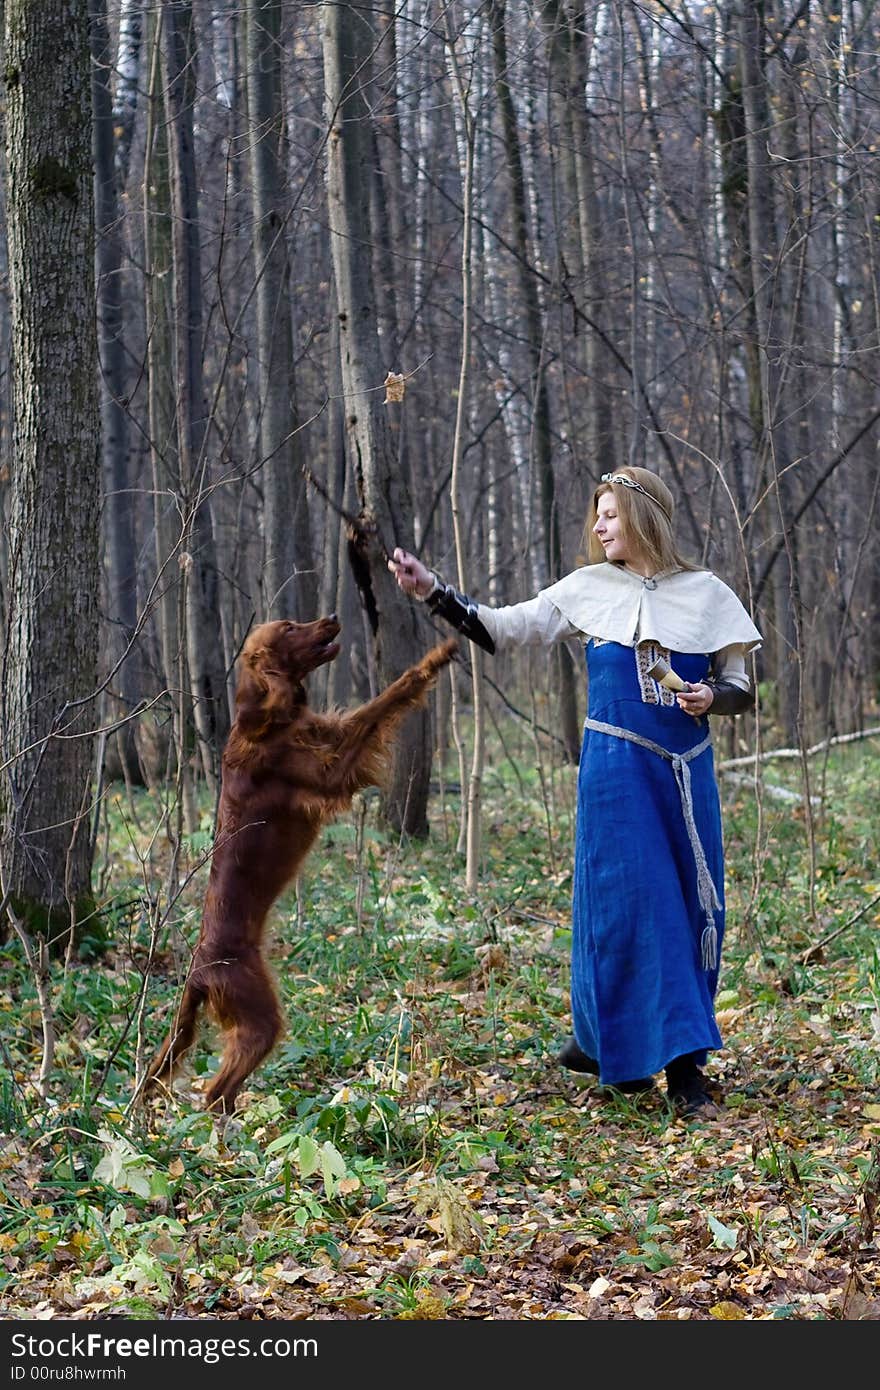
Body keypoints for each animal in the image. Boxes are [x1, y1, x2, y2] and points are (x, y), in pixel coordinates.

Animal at [145, 614, 455, 1112]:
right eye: (289, 628)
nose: (332, 617)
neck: (270, 717)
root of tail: (197, 971)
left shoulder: (326, 733)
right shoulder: (330, 771)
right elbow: (384, 701)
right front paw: (434, 658)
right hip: (258, 1014)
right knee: (214, 1093)